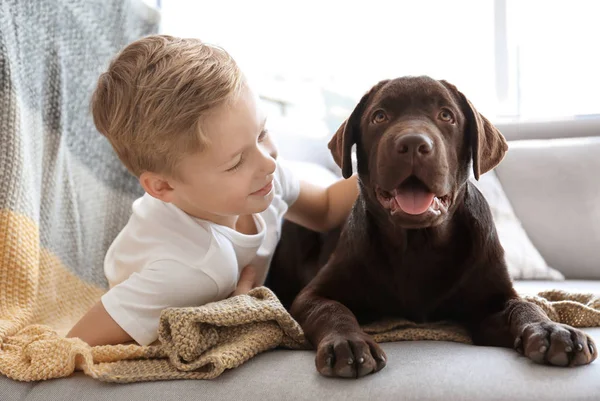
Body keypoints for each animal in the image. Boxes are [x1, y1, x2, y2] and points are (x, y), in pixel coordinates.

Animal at [288, 76, 596, 378]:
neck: (418, 243)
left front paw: (552, 330)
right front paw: (348, 342)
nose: (413, 144)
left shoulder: (489, 303)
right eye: (379, 117)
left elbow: (524, 304)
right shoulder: (312, 295)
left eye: (446, 116)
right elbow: (331, 309)